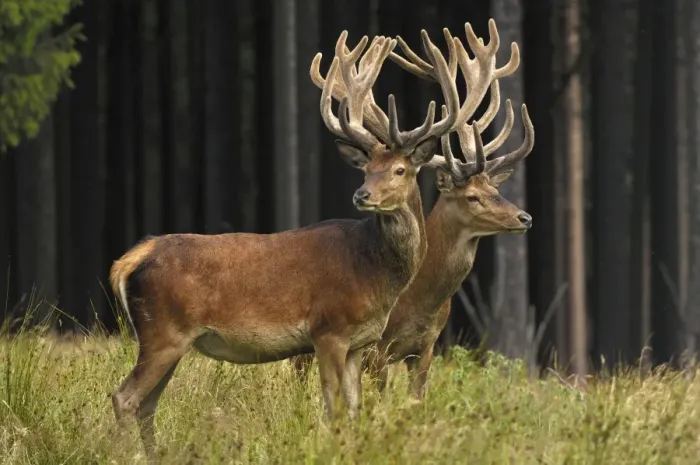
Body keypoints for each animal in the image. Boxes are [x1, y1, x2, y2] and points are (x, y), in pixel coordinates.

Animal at [109, 30, 470, 458]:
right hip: (162, 331)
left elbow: (355, 408)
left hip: (169, 339)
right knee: (125, 397)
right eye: (367, 168)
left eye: (400, 170)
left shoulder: (360, 343)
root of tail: (131, 259)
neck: (374, 270)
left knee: (147, 403)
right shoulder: (328, 329)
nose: (362, 194)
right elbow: (332, 405)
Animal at [292, 19, 534, 400]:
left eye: (493, 189)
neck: (420, 301)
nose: (524, 217)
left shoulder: (426, 348)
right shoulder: (376, 348)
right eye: (472, 197)